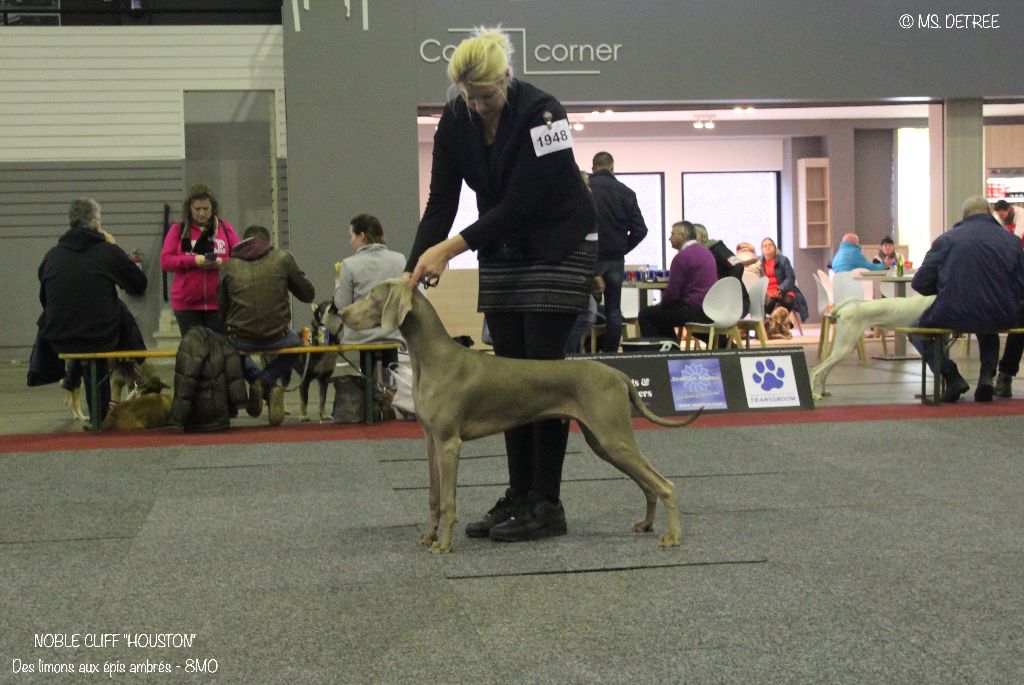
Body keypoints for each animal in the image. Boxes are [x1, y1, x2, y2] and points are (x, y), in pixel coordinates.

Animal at [339, 280, 700, 552]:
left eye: (372, 296)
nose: (340, 312)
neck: (432, 358)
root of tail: (616, 372)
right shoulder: (431, 440)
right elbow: (432, 496)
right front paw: (429, 536)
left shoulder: (449, 443)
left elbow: (447, 501)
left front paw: (443, 544)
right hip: (603, 441)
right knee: (648, 485)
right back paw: (647, 524)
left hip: (613, 438)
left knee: (664, 484)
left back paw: (673, 537)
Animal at [806, 290, 937, 397]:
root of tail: (844, 310)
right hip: (844, 349)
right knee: (815, 371)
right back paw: (813, 394)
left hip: (843, 349)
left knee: (824, 372)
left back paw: (823, 391)